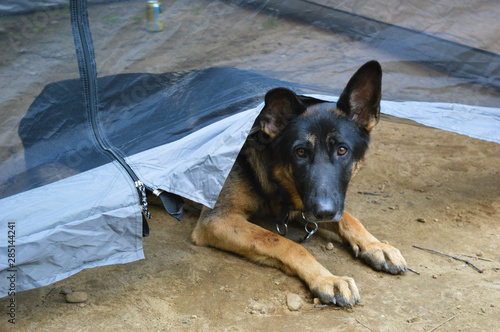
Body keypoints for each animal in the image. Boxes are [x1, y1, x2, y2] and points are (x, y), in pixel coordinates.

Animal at [191, 61, 406, 306]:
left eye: (342, 150)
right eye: (300, 152)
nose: (324, 212)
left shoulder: (308, 205)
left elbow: (348, 218)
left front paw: (377, 245)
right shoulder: (218, 219)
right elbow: (280, 241)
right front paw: (327, 278)